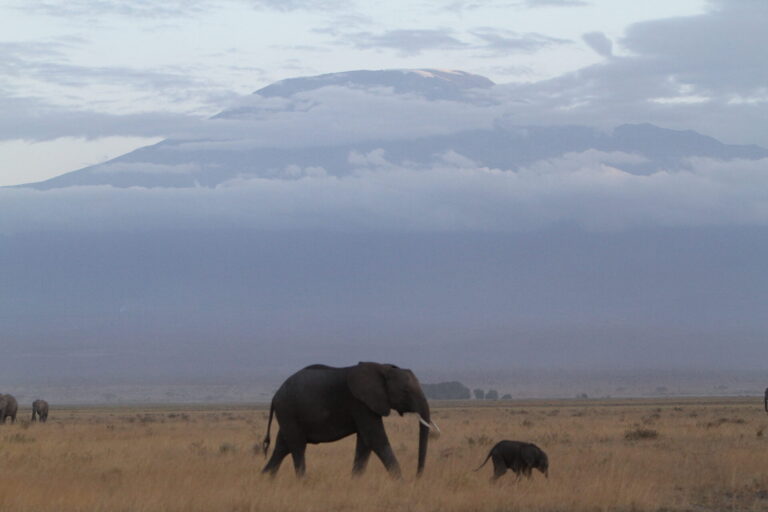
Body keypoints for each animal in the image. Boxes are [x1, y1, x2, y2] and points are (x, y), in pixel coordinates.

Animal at [261, 362, 439, 478]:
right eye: (405, 391)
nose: (417, 477)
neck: (383, 367)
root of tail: (275, 396)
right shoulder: (360, 403)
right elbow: (375, 438)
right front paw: (400, 482)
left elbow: (365, 443)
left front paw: (355, 481)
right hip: (288, 411)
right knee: (297, 446)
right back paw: (302, 481)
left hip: (288, 414)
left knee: (282, 446)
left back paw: (265, 478)